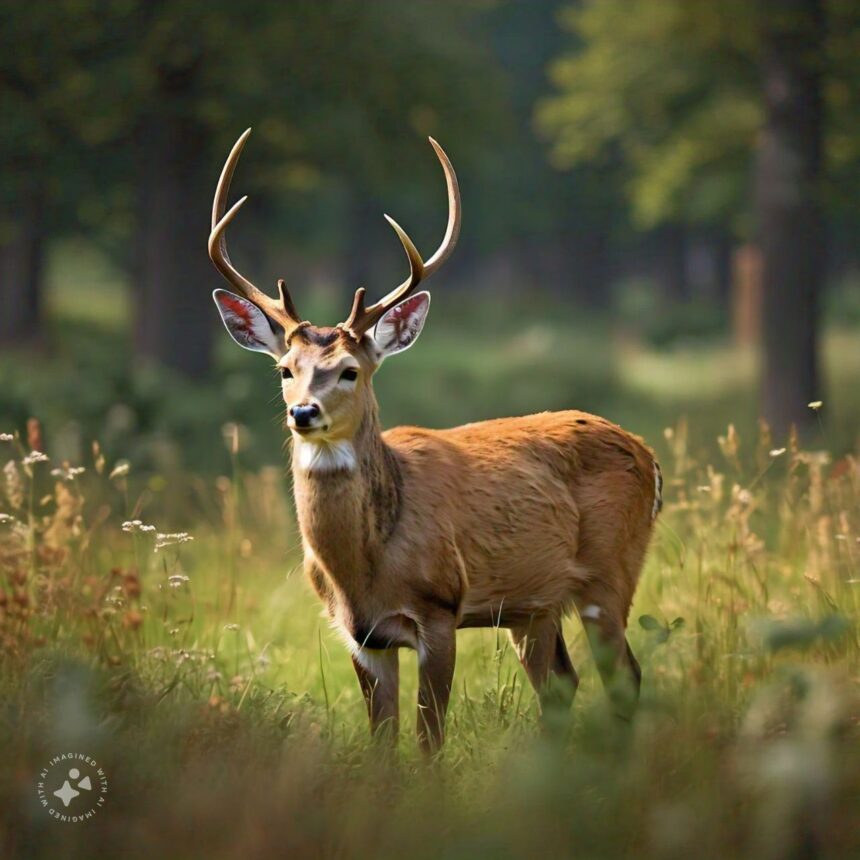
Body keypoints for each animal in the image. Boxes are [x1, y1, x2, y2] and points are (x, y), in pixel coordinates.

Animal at [210, 127, 664, 752]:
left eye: (350, 370)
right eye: (284, 368)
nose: (303, 411)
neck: (365, 569)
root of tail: (647, 453)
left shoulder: (441, 609)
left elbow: (429, 741)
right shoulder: (363, 637)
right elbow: (382, 743)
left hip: (610, 572)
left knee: (626, 678)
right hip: (535, 606)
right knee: (561, 685)